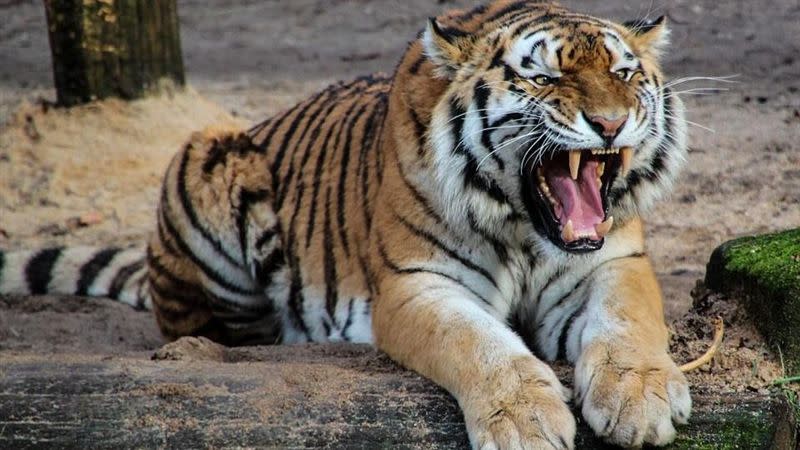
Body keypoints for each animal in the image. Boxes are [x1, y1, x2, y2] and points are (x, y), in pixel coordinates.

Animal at [0, 1, 692, 448]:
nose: (610, 123)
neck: (525, 228)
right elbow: (480, 344)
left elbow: (629, 322)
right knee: (207, 329)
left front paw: (640, 400)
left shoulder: (612, 262)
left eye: (623, 73)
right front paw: (527, 420)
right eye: (544, 77)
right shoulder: (417, 285)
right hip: (208, 156)